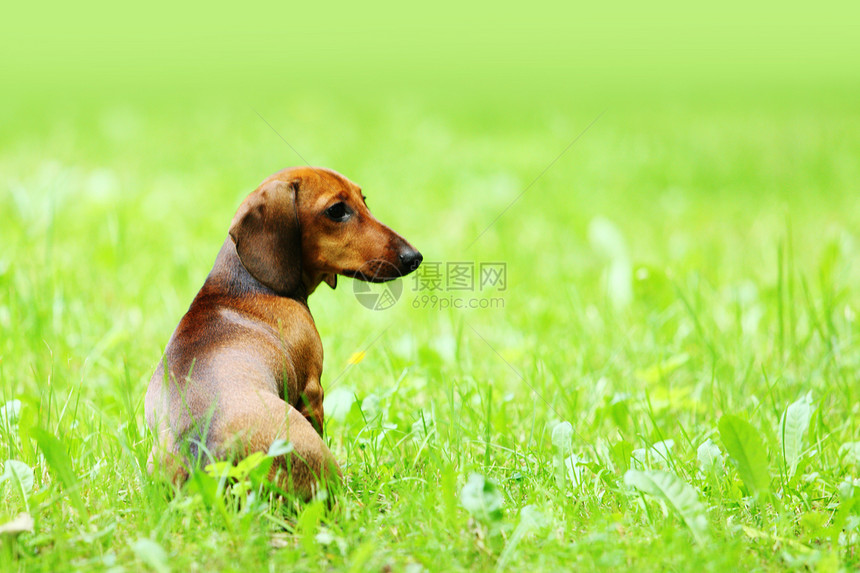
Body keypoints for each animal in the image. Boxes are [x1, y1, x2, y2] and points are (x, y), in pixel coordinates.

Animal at [144, 165, 424, 496]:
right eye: (337, 210)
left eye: (363, 199)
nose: (414, 257)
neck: (249, 283)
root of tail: (210, 457)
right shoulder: (312, 390)